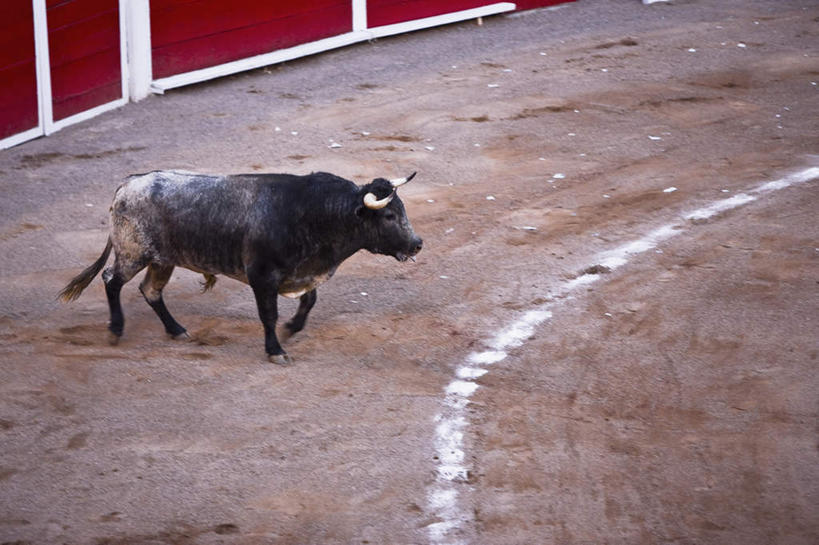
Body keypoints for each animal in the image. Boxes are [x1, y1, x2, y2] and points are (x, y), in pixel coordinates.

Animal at [59, 168, 422, 364]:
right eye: (389, 215)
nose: (417, 243)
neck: (313, 213)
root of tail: (127, 184)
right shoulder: (262, 276)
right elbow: (269, 315)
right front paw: (275, 349)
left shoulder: (301, 272)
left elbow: (310, 300)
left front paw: (292, 328)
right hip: (133, 253)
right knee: (111, 280)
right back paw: (116, 329)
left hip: (162, 260)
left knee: (150, 291)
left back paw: (176, 330)